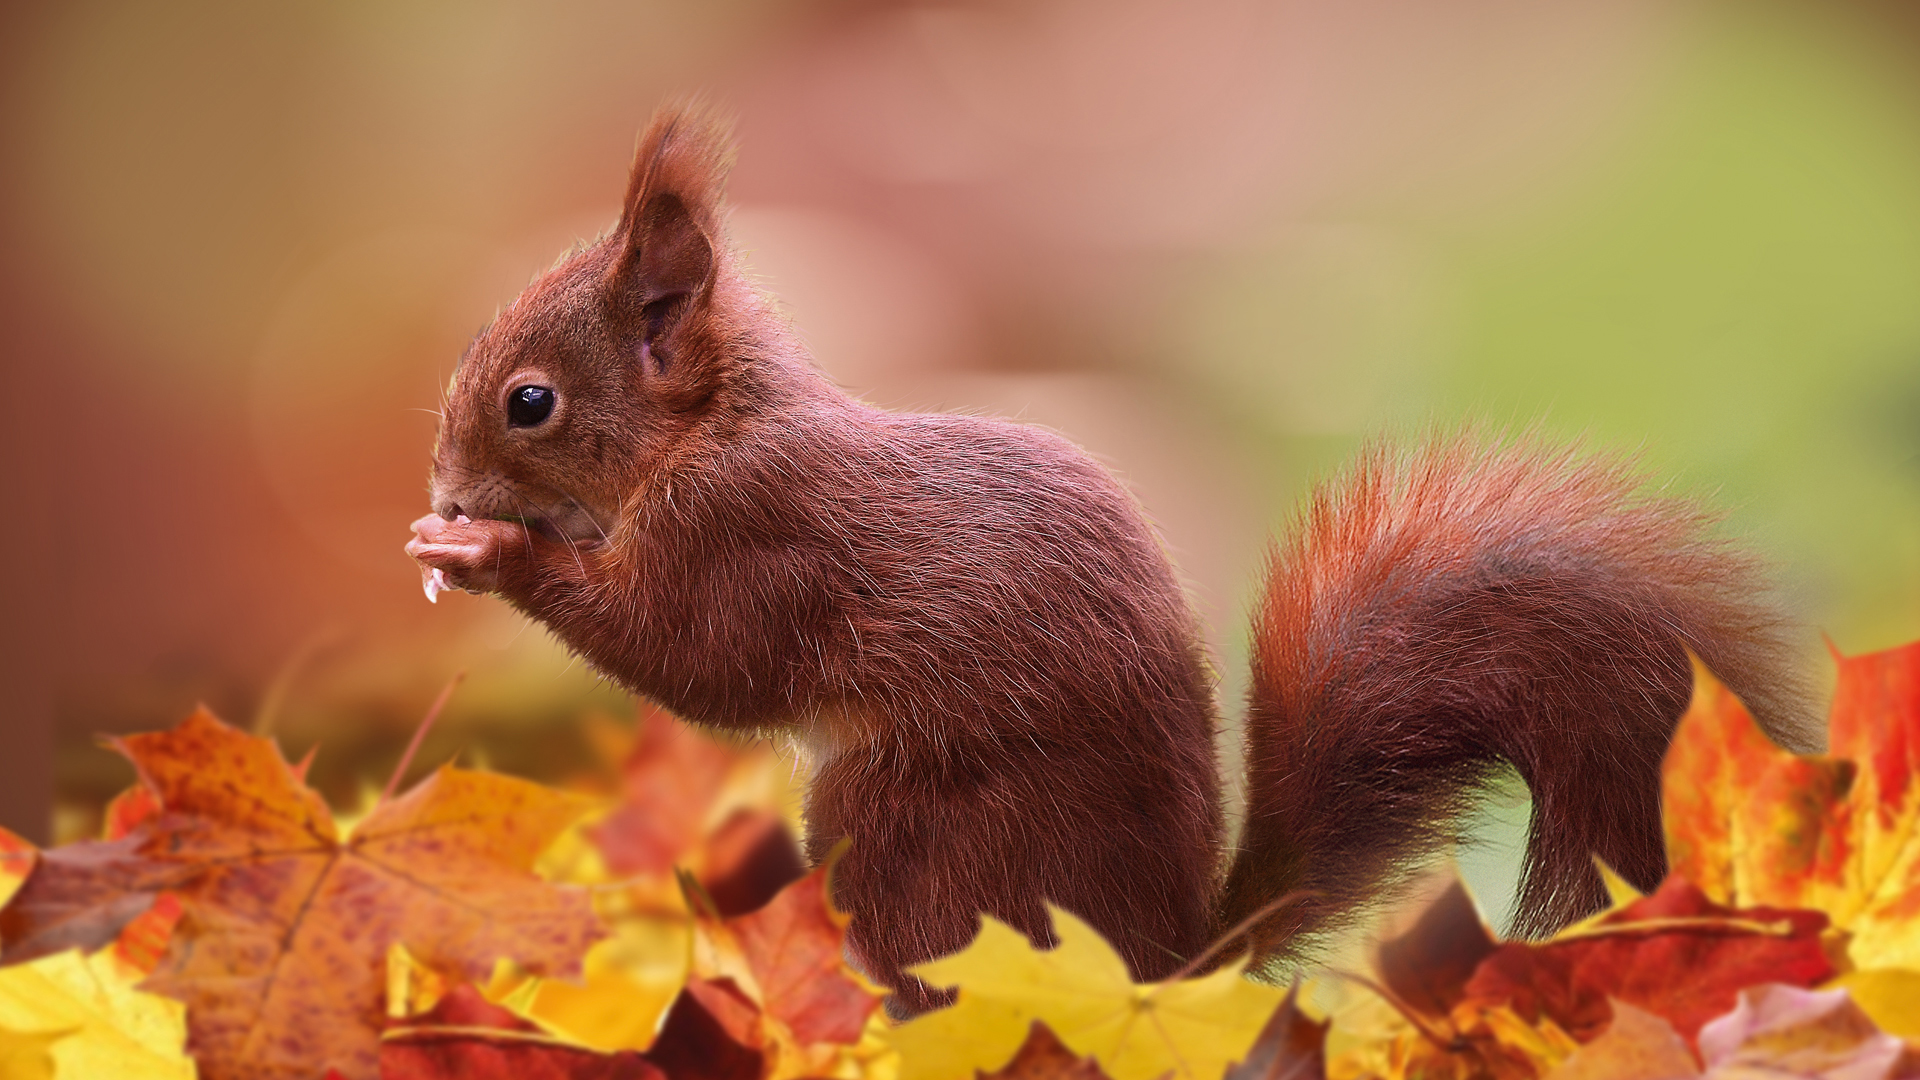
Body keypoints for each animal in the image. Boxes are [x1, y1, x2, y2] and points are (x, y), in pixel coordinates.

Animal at [405, 102, 1811, 1013]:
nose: (444, 489)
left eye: (530, 403)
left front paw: (491, 555)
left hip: (901, 833)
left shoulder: (753, 530)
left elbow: (695, 661)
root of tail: (1167, 964)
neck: (715, 427)